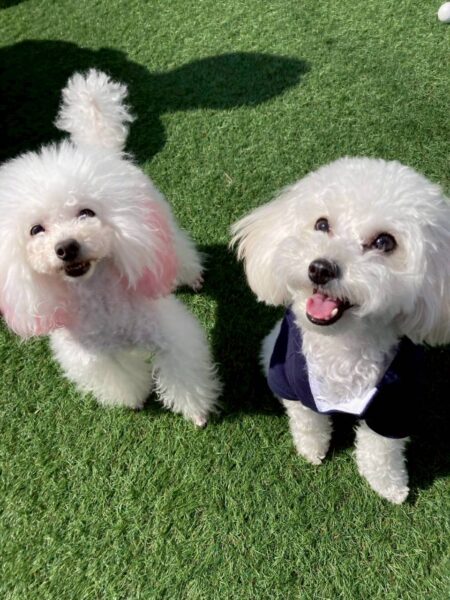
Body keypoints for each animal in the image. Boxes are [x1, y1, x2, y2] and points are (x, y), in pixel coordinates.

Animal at [0, 69, 221, 426]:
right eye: (35, 230)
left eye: (86, 213)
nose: (66, 247)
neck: (97, 295)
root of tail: (98, 150)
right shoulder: (96, 358)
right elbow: (120, 378)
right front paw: (135, 400)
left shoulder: (169, 335)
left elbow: (183, 375)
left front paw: (197, 412)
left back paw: (189, 275)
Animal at [232, 157, 450, 503]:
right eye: (322, 224)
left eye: (384, 242)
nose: (320, 268)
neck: (342, 346)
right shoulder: (291, 383)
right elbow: (307, 420)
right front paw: (312, 450)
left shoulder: (395, 404)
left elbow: (382, 449)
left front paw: (389, 485)